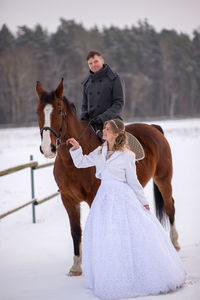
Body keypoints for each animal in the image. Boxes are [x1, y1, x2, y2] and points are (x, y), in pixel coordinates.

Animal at [36, 78, 181, 276]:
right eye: (38, 111)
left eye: (59, 110)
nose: (47, 149)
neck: (73, 162)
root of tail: (153, 128)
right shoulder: (68, 200)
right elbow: (75, 231)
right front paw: (76, 267)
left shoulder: (93, 198)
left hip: (163, 179)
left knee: (170, 206)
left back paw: (174, 244)